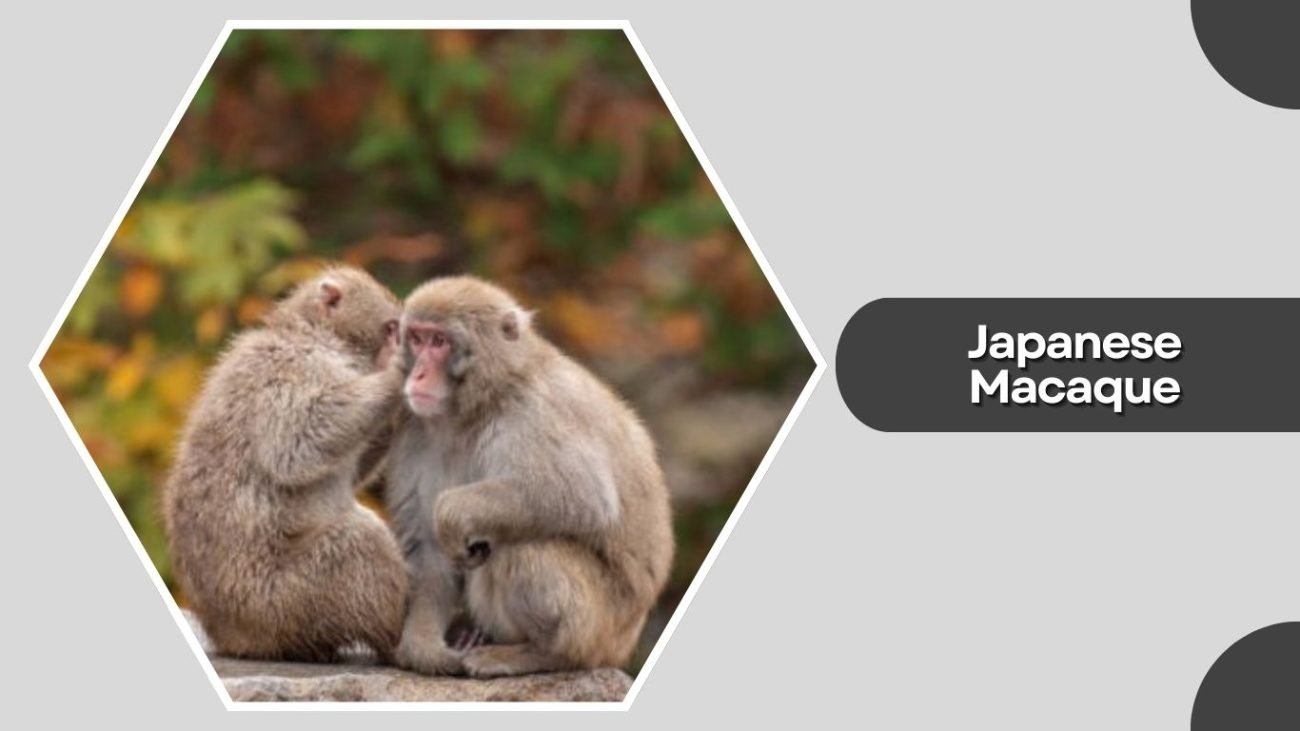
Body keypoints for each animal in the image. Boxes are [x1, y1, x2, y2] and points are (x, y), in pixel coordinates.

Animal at [162, 265, 410, 663]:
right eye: (389, 329)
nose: (396, 350)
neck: (313, 336)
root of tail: (235, 638)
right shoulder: (290, 367)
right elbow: (295, 444)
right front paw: (398, 378)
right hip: (283, 601)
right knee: (360, 541)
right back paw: (401, 641)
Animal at [384, 276, 675, 678]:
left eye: (439, 341)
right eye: (417, 338)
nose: (418, 374)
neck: (477, 407)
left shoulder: (533, 411)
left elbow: (582, 494)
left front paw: (452, 513)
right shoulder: (413, 431)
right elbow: (428, 549)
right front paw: (425, 648)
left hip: (599, 626)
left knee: (519, 544)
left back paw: (544, 654)